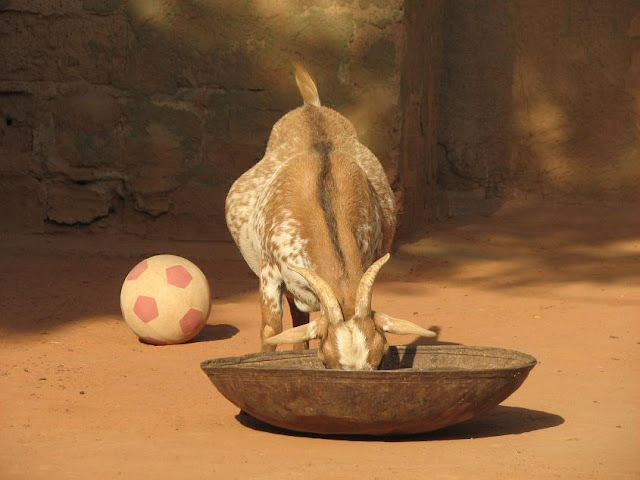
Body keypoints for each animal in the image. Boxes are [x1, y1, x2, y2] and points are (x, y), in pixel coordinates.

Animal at [225, 64, 435, 370]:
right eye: (326, 362)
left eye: (382, 356)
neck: (324, 213)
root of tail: (311, 105)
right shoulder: (270, 273)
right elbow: (271, 330)